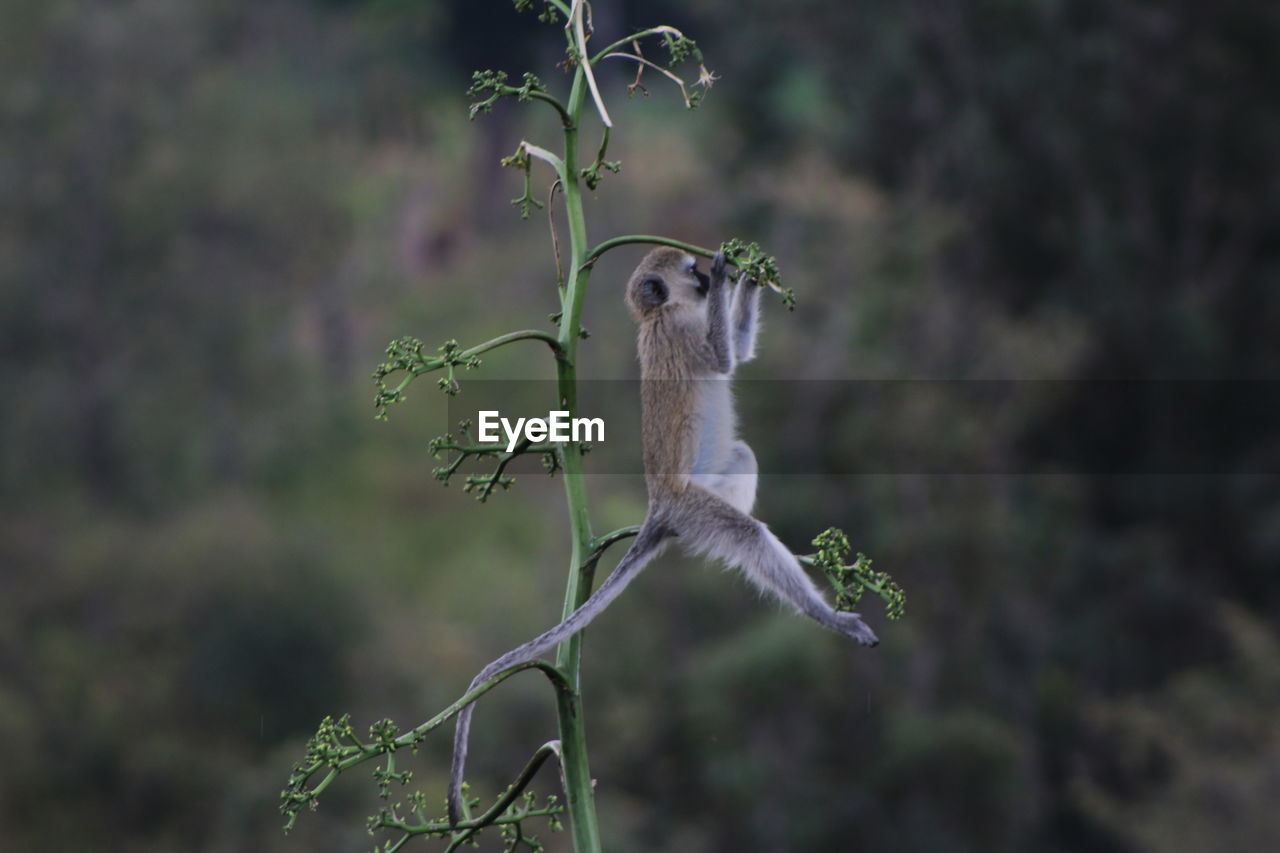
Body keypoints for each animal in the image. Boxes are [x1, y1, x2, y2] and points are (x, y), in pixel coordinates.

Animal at [445, 245, 875, 824]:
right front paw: (729, 271)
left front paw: (748, 272)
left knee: (742, 457)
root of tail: (660, 508)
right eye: (691, 272)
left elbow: (738, 356)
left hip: (701, 492)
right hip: (694, 506)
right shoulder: (681, 332)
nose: (706, 275)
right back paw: (822, 612)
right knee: (744, 533)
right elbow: (724, 359)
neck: (660, 315)